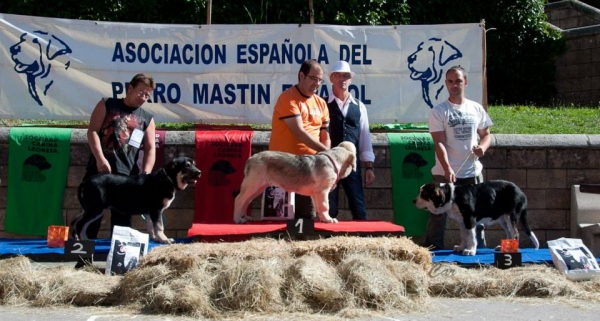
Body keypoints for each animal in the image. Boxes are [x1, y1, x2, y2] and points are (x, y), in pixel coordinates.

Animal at [70, 157, 202, 242]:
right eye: (187, 166)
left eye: (194, 164)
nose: (199, 172)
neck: (168, 178)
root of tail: (85, 181)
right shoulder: (156, 210)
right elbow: (159, 226)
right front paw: (164, 239)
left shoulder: (149, 213)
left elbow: (151, 227)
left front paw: (155, 239)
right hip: (95, 209)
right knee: (81, 224)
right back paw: (84, 240)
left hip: (88, 209)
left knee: (75, 220)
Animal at [412, 180, 540, 255]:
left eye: (424, 194)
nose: (413, 201)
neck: (453, 196)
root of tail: (521, 192)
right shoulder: (462, 221)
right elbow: (464, 236)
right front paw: (461, 247)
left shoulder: (470, 219)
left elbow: (472, 237)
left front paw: (470, 250)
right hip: (503, 218)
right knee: (509, 233)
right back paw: (503, 247)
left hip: (510, 216)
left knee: (515, 234)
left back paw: (511, 249)